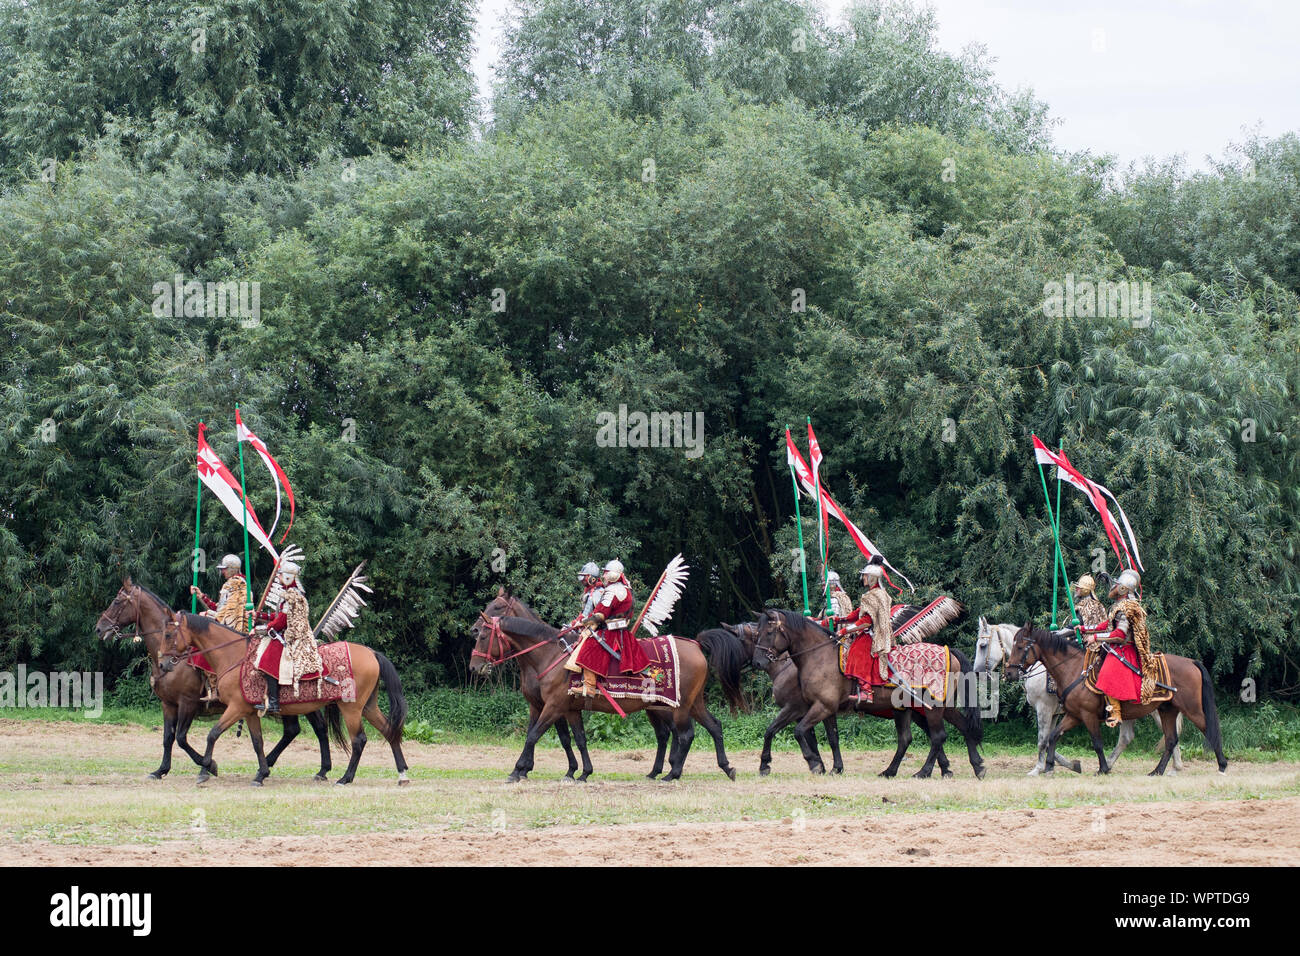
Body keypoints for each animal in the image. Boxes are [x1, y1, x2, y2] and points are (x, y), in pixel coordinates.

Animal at [95, 580, 335, 780]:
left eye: (117, 601)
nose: (99, 628)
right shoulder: (168, 704)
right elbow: (167, 738)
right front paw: (161, 770)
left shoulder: (188, 702)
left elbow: (181, 738)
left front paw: (209, 766)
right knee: (295, 730)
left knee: (318, 729)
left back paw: (319, 770)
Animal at [162, 608, 408, 790]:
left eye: (168, 635)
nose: (164, 665)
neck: (233, 656)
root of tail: (371, 653)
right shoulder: (249, 711)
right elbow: (257, 742)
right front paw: (261, 774)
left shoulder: (236, 708)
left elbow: (212, 734)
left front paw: (207, 768)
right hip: (368, 707)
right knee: (389, 731)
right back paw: (402, 773)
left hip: (351, 708)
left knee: (359, 740)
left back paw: (345, 778)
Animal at [754, 613, 982, 780]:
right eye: (756, 632)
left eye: (769, 631)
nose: (758, 662)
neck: (819, 656)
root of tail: (949, 651)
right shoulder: (817, 708)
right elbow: (825, 737)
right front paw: (834, 768)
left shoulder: (821, 707)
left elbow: (799, 732)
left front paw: (814, 763)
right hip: (928, 708)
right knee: (948, 730)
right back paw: (975, 766)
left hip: (932, 706)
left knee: (937, 737)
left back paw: (923, 772)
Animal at [977, 616, 1180, 775]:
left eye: (982, 645)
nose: (978, 671)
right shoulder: (1059, 713)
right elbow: (1050, 737)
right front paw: (1059, 765)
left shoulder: (1045, 709)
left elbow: (1042, 739)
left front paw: (1038, 768)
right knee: (1128, 737)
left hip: (1156, 709)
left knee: (1169, 733)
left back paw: (1174, 768)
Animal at [1003, 621, 1227, 780]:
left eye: (1021, 646)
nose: (1009, 673)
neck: (1073, 669)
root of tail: (1191, 662)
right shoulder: (1073, 715)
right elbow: (1053, 736)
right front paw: (1050, 765)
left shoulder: (1084, 715)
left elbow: (1096, 742)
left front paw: (1102, 769)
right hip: (1167, 710)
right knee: (1170, 739)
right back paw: (1157, 771)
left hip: (1192, 709)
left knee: (1208, 729)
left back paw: (1222, 765)